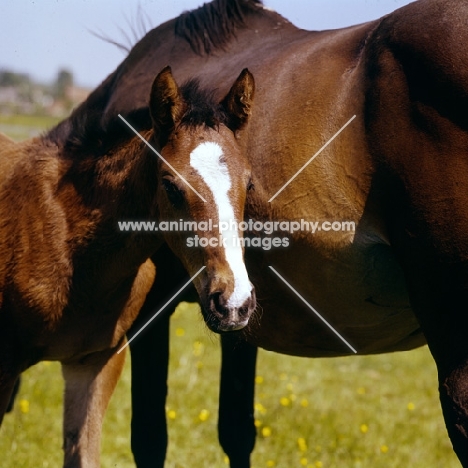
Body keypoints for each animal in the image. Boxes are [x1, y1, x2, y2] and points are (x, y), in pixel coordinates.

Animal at [94, 0, 468, 466]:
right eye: (170, 187)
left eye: (249, 184)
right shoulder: (236, 312)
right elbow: (236, 430)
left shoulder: (152, 308)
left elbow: (148, 440)